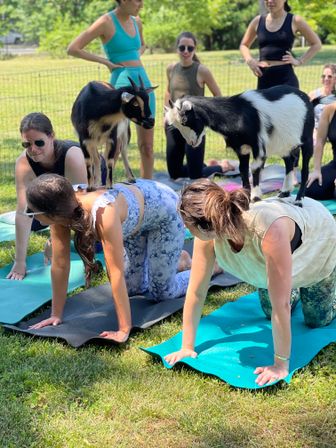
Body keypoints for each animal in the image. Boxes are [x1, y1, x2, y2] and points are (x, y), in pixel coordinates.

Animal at [165, 85, 316, 206]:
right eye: (176, 125)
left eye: (185, 121)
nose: (191, 142)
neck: (238, 113)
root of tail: (307, 99)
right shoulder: (241, 148)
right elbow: (243, 170)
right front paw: (244, 199)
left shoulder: (258, 146)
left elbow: (254, 168)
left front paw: (255, 197)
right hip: (283, 143)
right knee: (289, 161)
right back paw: (285, 192)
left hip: (307, 139)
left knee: (305, 169)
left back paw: (299, 200)